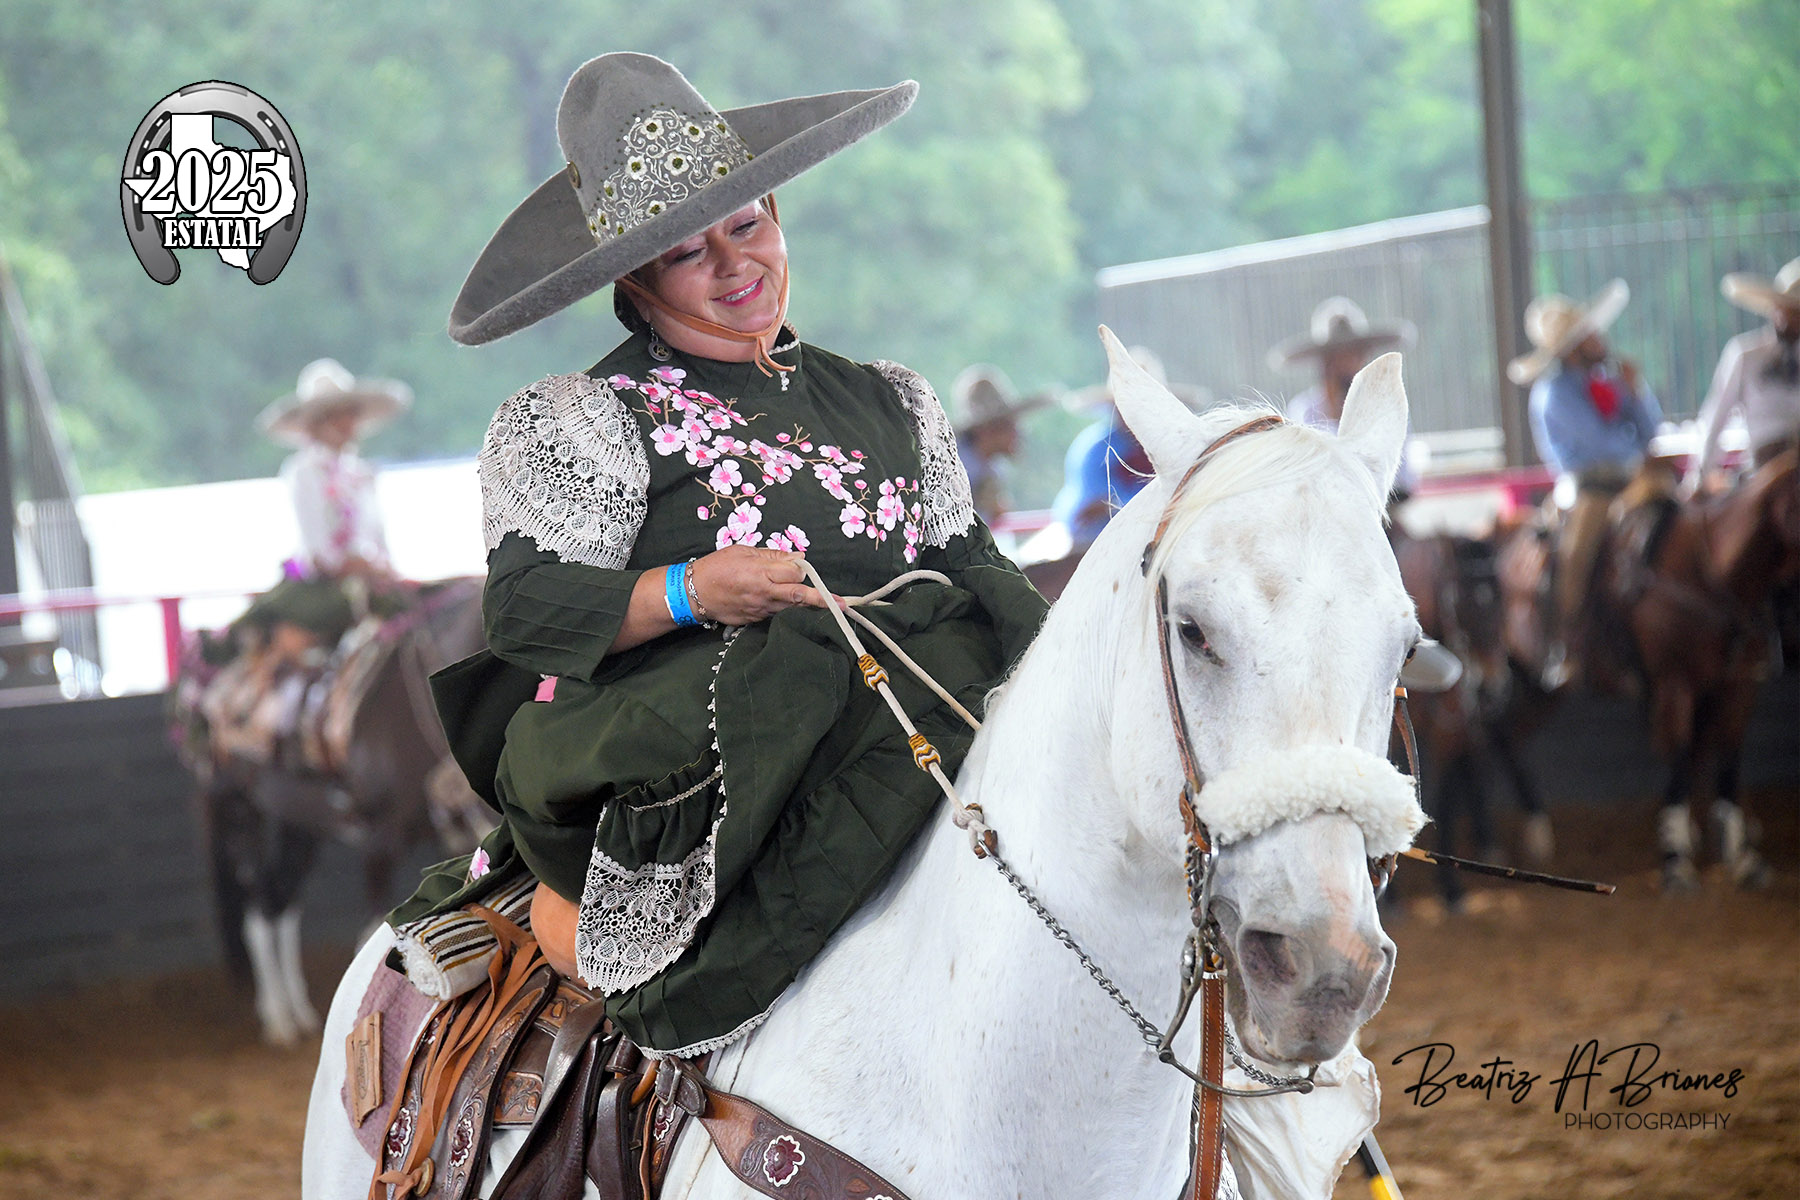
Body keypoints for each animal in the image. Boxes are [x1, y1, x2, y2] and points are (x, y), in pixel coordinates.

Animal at [174, 576, 490, 1044]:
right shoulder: (381, 839)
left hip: (299, 824)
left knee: (280, 901)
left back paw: (298, 1011)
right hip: (239, 813)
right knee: (258, 905)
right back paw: (277, 1017)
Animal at [1498, 450, 1799, 886]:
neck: (1706, 574)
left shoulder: (1737, 686)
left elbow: (1727, 761)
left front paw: (1742, 857)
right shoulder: (1674, 685)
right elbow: (1679, 759)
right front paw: (1675, 861)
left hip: (1540, 688)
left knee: (1511, 735)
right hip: (1520, 672)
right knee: (1499, 733)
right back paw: (1535, 831)